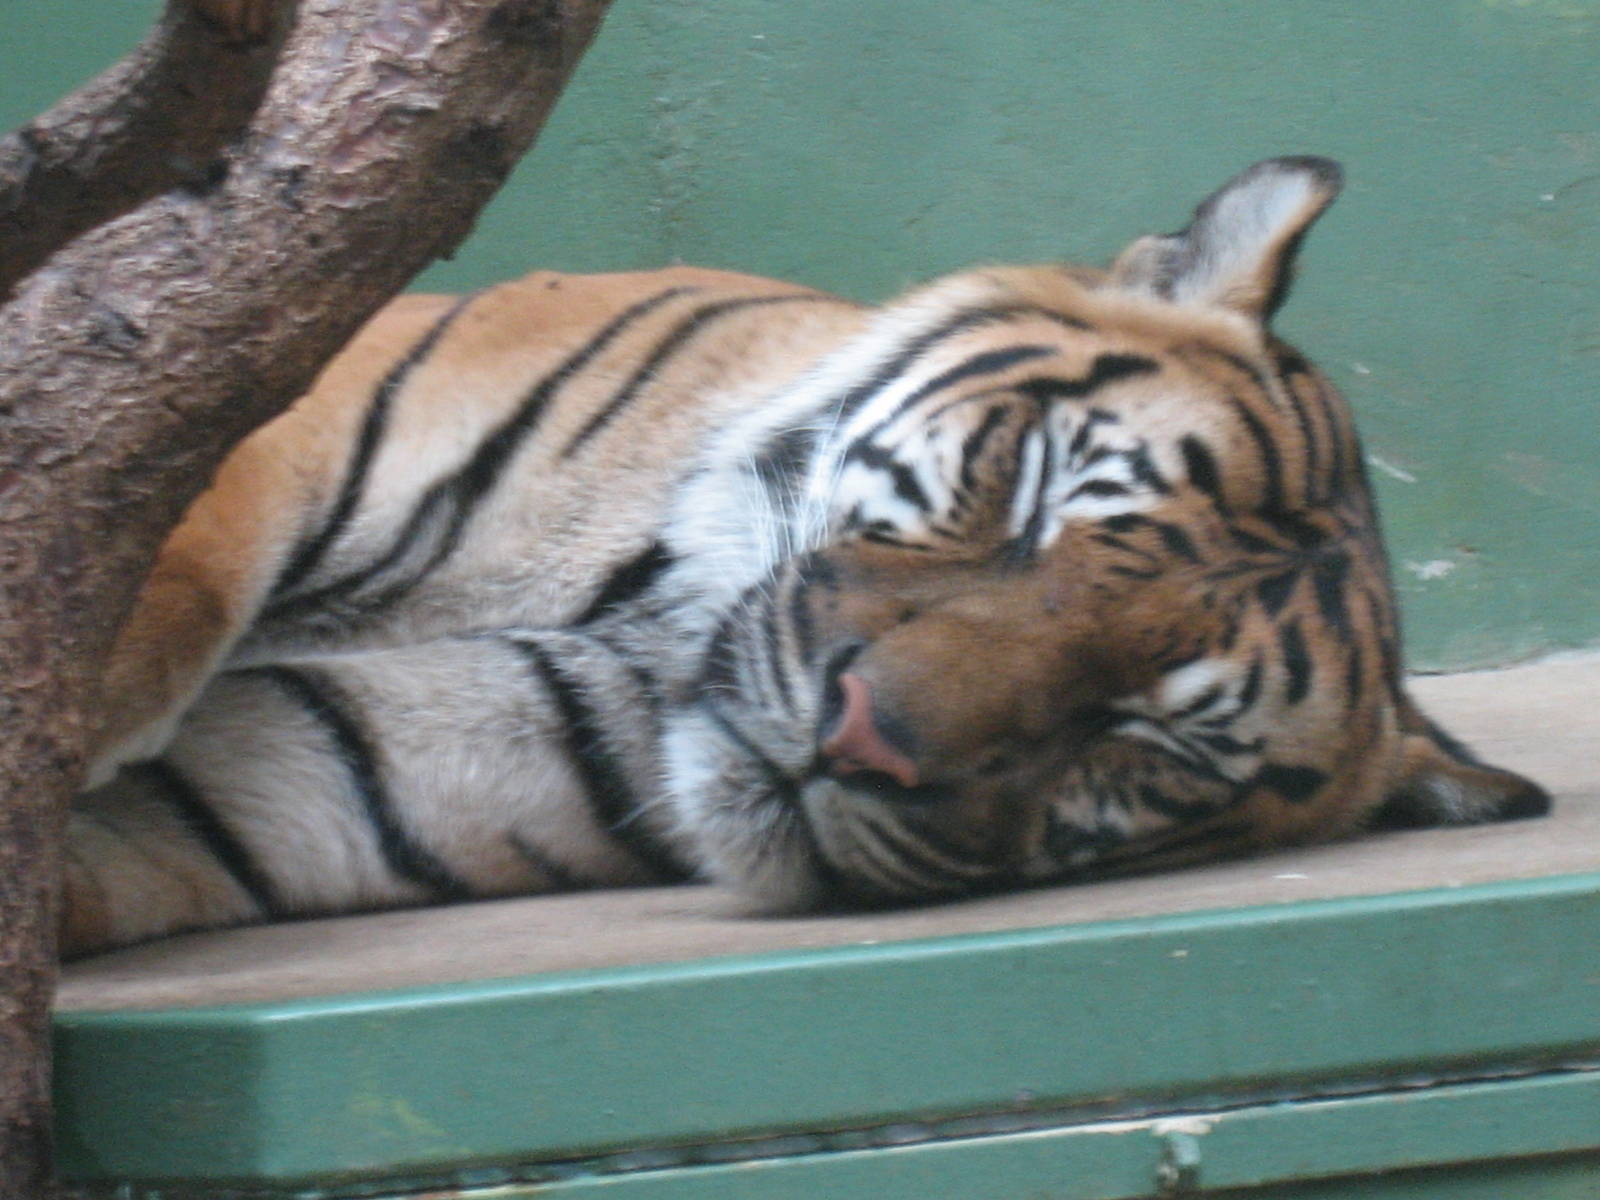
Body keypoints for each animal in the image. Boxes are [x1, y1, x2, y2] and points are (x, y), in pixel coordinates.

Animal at [64, 157, 1549, 958]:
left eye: (1142, 742)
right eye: (1034, 497)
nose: (859, 740)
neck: (640, 607)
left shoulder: (339, 766)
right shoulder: (292, 394)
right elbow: (163, 538)